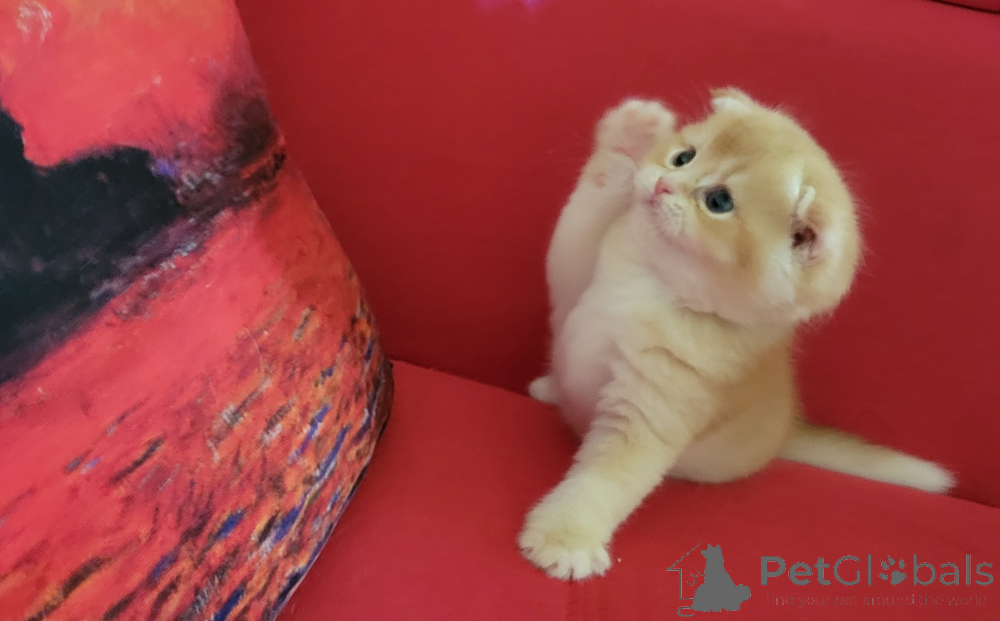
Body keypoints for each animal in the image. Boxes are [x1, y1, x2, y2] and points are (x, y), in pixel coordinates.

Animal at [519, 89, 955, 581]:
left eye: (719, 201)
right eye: (683, 156)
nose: (662, 183)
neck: (655, 284)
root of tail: (786, 433)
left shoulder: (656, 408)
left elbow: (605, 484)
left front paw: (564, 540)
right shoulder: (574, 281)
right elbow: (580, 220)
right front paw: (633, 132)